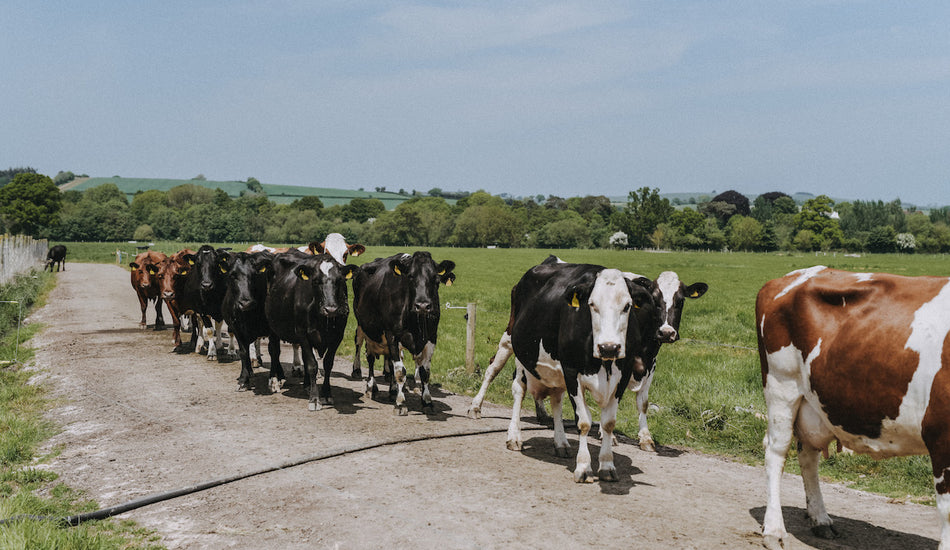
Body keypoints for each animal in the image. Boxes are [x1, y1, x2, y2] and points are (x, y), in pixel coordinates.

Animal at [224, 252, 278, 394]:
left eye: (255, 275)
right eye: (233, 275)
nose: (246, 303)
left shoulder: (273, 330)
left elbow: (274, 351)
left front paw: (274, 380)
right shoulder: (237, 329)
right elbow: (243, 352)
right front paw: (244, 380)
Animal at [266, 250, 358, 410]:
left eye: (339, 281)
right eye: (315, 281)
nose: (331, 309)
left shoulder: (337, 336)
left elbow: (328, 364)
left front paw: (326, 394)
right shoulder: (302, 333)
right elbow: (312, 365)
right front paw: (314, 399)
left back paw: (307, 385)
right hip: (272, 327)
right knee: (274, 351)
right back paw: (274, 381)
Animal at [354, 252, 458, 416]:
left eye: (436, 279)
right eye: (410, 277)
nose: (423, 305)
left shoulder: (431, 337)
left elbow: (424, 373)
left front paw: (427, 402)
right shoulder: (392, 336)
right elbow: (400, 372)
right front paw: (400, 403)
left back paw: (392, 390)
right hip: (365, 328)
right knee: (368, 356)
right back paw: (371, 387)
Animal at [466, 258, 660, 484]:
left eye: (627, 306)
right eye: (592, 305)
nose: (609, 347)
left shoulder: (622, 375)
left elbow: (608, 423)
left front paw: (607, 465)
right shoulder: (571, 371)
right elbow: (584, 422)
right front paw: (583, 468)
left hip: (554, 371)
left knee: (556, 400)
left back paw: (561, 443)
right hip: (516, 345)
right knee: (511, 384)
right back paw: (507, 431)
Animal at [760, 266, 950, 548]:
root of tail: (792, 275)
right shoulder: (941, 436)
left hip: (813, 402)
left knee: (808, 456)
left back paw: (820, 520)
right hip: (781, 385)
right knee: (776, 453)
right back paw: (773, 529)